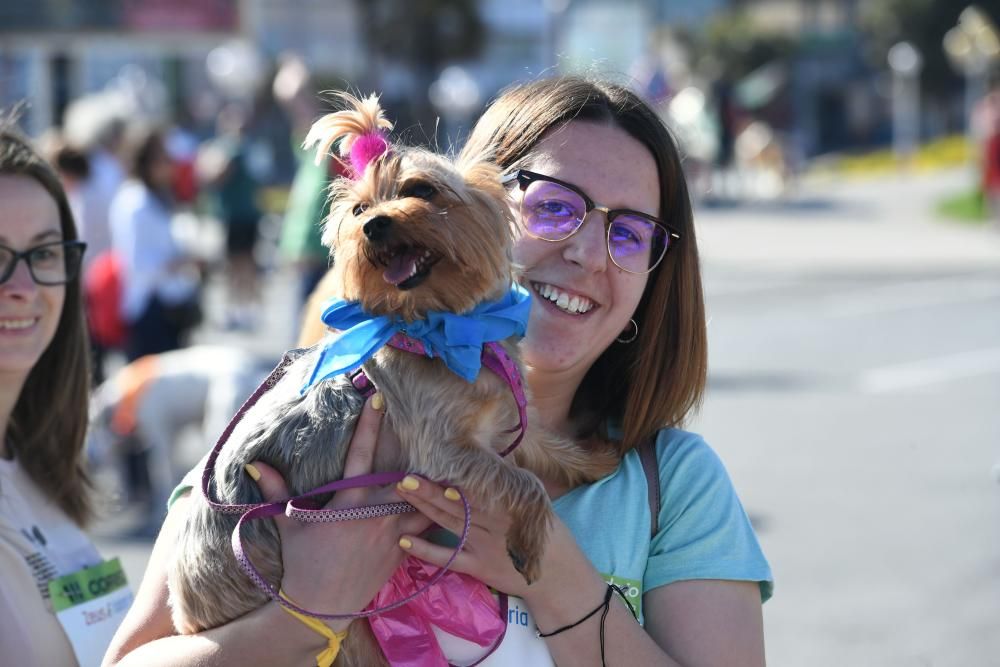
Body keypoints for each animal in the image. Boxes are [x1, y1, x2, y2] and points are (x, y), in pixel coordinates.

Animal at [166, 92, 616, 664]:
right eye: (359, 210)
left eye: (421, 190)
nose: (374, 225)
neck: (441, 326)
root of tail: (183, 603)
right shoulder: (441, 451)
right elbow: (525, 481)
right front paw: (533, 542)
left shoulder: (505, 424)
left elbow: (545, 446)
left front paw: (596, 460)